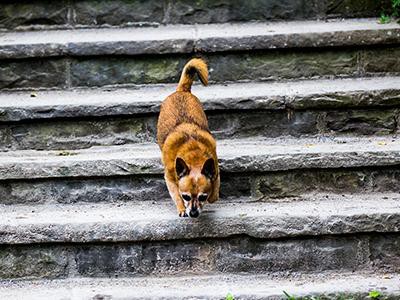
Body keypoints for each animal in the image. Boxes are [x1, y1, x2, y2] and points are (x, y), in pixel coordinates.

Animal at [157, 58, 220, 218]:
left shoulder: (215, 170)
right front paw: (181, 208)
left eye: (202, 197)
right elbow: (175, 194)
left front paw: (212, 196)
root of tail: (182, 90)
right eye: (186, 196)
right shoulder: (170, 178)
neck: (193, 155)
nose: (193, 213)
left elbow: (214, 194)